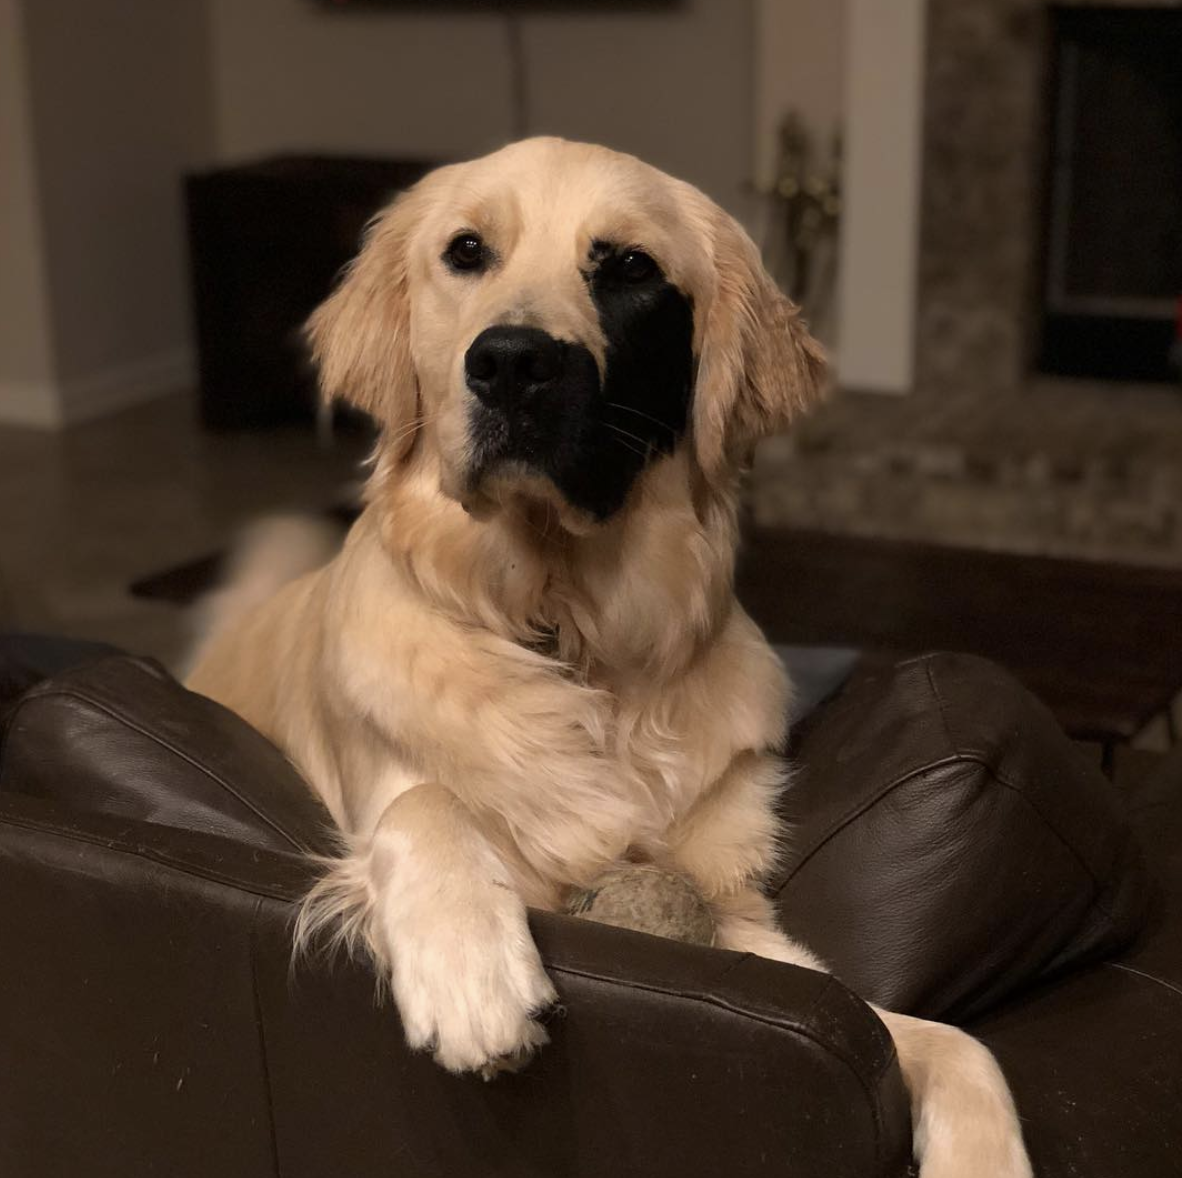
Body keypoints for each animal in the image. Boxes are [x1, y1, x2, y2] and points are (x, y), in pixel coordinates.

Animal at [186, 137, 1032, 1178]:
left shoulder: (747, 932)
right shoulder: (390, 790)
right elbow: (425, 805)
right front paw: (472, 973)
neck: (568, 631)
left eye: (630, 267)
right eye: (465, 251)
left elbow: (945, 1041)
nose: (513, 364)